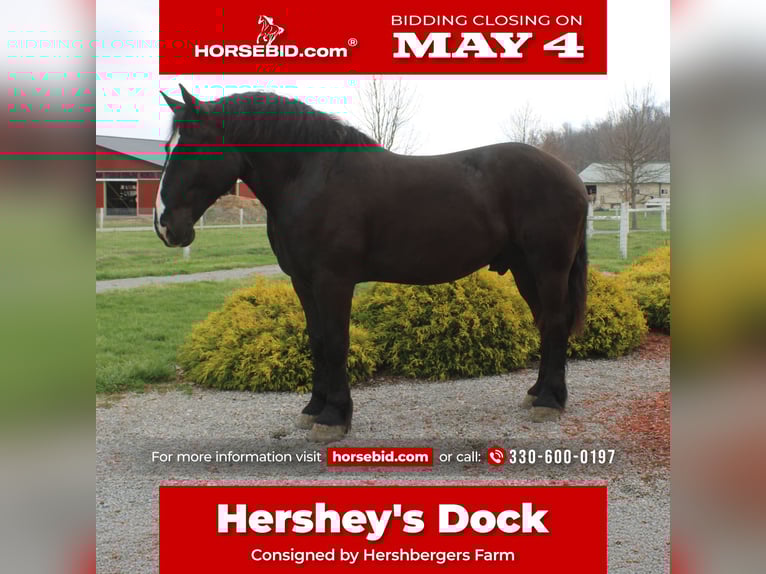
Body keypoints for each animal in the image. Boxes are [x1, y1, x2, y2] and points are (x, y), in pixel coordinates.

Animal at [156, 85, 588, 443]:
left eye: (192, 146)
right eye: (167, 149)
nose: (165, 225)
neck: (313, 176)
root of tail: (571, 178)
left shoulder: (333, 280)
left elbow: (336, 342)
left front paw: (334, 418)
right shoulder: (303, 281)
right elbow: (316, 341)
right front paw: (313, 409)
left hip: (548, 267)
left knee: (554, 322)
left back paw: (550, 402)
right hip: (524, 269)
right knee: (547, 323)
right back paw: (538, 394)